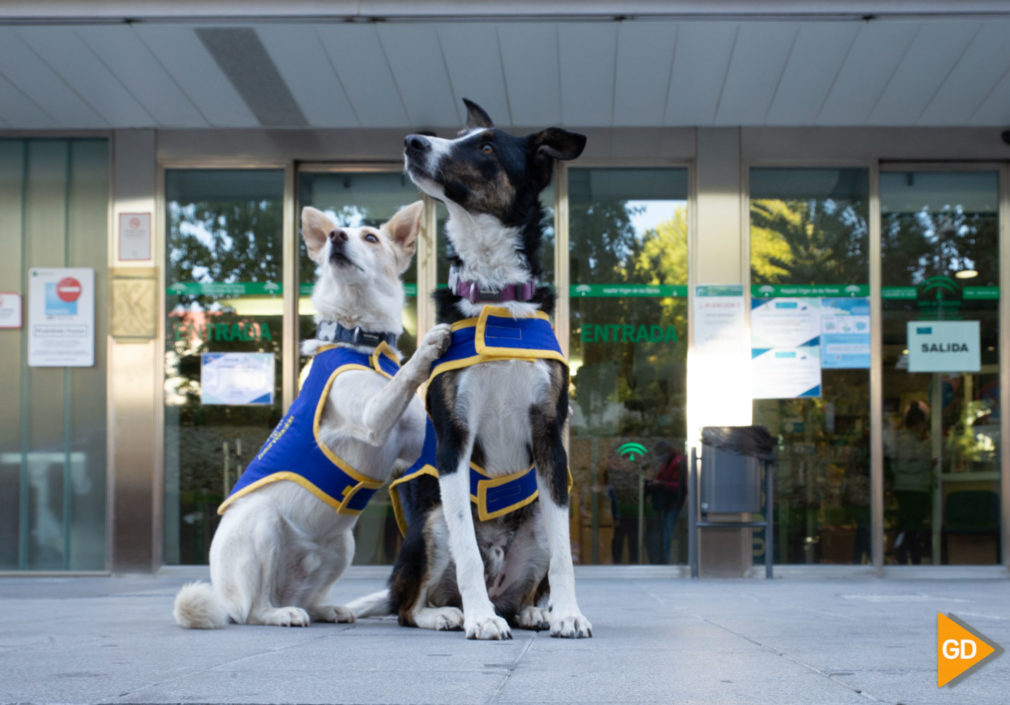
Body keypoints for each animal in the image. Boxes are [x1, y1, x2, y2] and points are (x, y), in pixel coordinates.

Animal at [173, 202, 450, 626]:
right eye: (341, 232)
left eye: (370, 237)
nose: (336, 236)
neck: (359, 341)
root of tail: (223, 597)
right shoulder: (373, 417)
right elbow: (403, 378)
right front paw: (426, 348)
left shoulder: (414, 440)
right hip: (265, 525)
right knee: (253, 609)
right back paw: (279, 614)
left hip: (342, 545)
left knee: (309, 599)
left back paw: (328, 608)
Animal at [355, 97, 589, 638]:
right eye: (457, 135)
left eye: (485, 147)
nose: (413, 142)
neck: (494, 295)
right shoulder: (453, 441)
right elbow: (466, 550)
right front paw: (481, 620)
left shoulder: (550, 437)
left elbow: (566, 557)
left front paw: (568, 612)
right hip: (428, 522)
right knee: (407, 605)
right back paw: (450, 612)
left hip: (535, 521)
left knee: (527, 582)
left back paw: (533, 610)